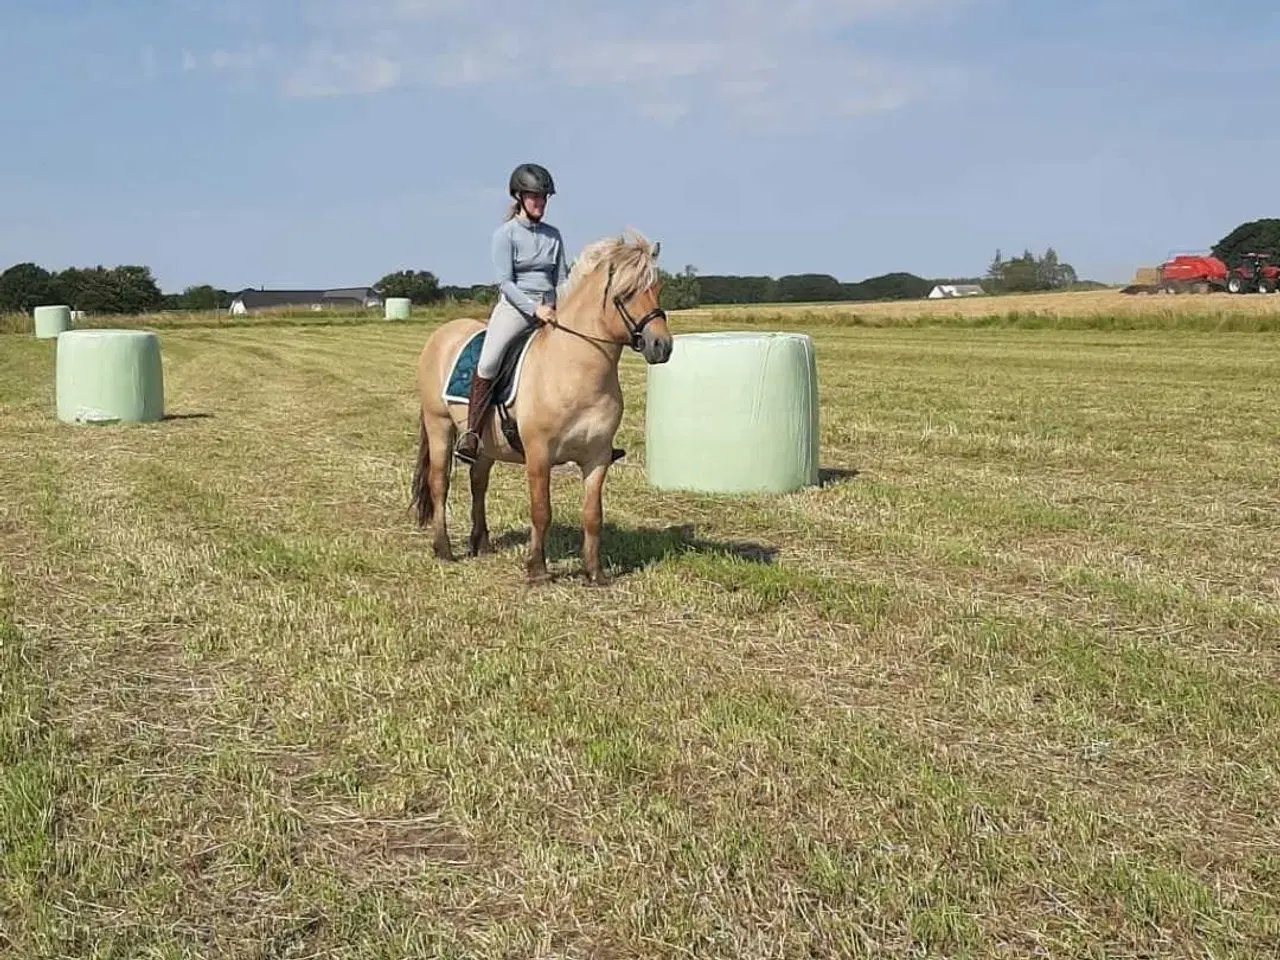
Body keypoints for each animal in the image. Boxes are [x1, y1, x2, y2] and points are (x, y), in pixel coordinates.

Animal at [411, 229, 674, 585]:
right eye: (626, 293)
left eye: (657, 289)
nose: (662, 346)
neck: (574, 368)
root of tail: (441, 334)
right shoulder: (539, 455)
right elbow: (541, 510)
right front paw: (537, 569)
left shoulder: (597, 457)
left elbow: (593, 515)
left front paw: (595, 573)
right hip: (439, 425)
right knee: (440, 483)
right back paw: (444, 549)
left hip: (485, 442)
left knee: (478, 483)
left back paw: (482, 544)